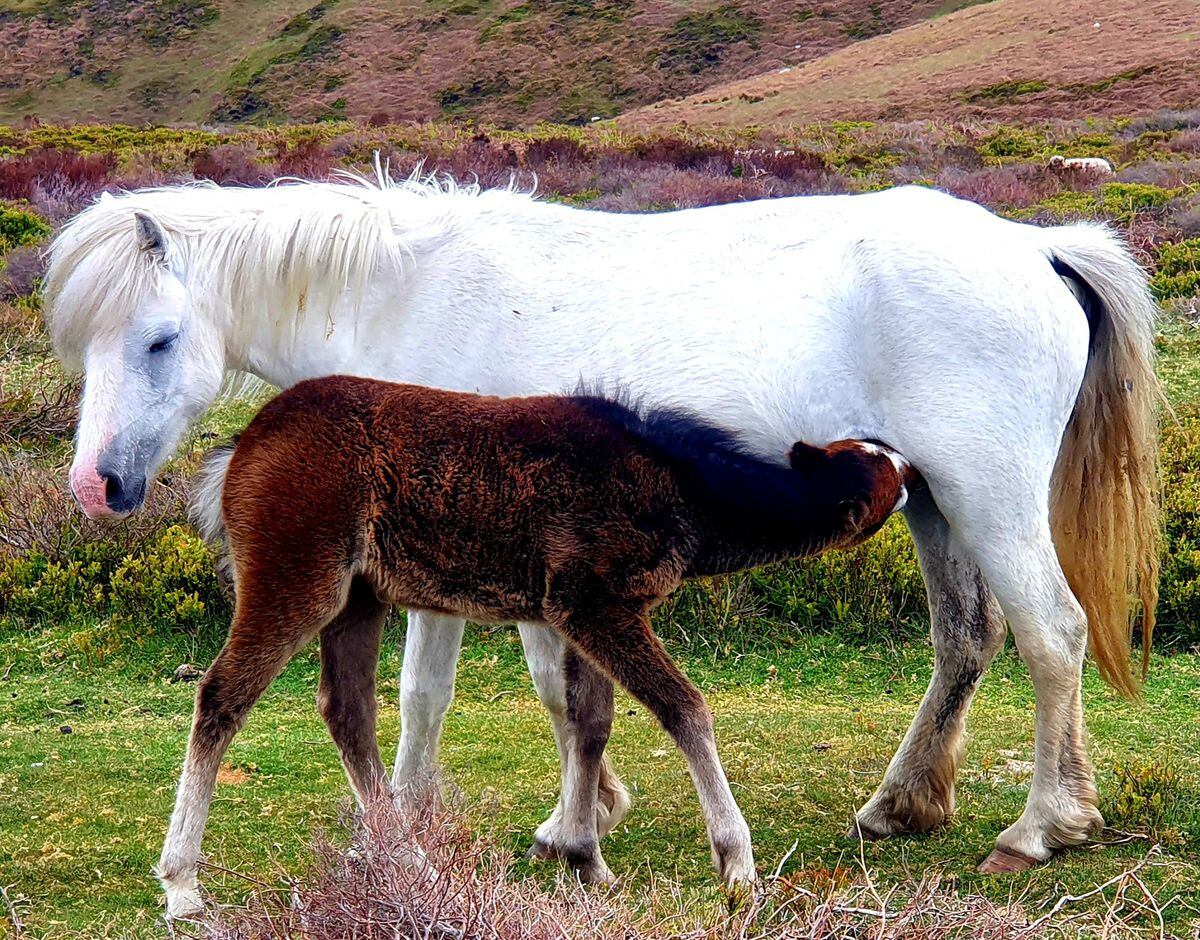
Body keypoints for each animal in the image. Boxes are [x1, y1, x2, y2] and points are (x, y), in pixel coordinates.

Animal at [157, 376, 907, 917]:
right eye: (887, 477)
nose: (915, 465)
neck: (677, 484)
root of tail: (241, 445)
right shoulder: (593, 606)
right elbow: (685, 709)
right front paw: (737, 863)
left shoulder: (583, 616)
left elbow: (589, 723)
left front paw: (583, 856)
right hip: (297, 582)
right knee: (222, 696)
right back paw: (182, 882)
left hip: (359, 599)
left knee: (348, 713)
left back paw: (409, 859)